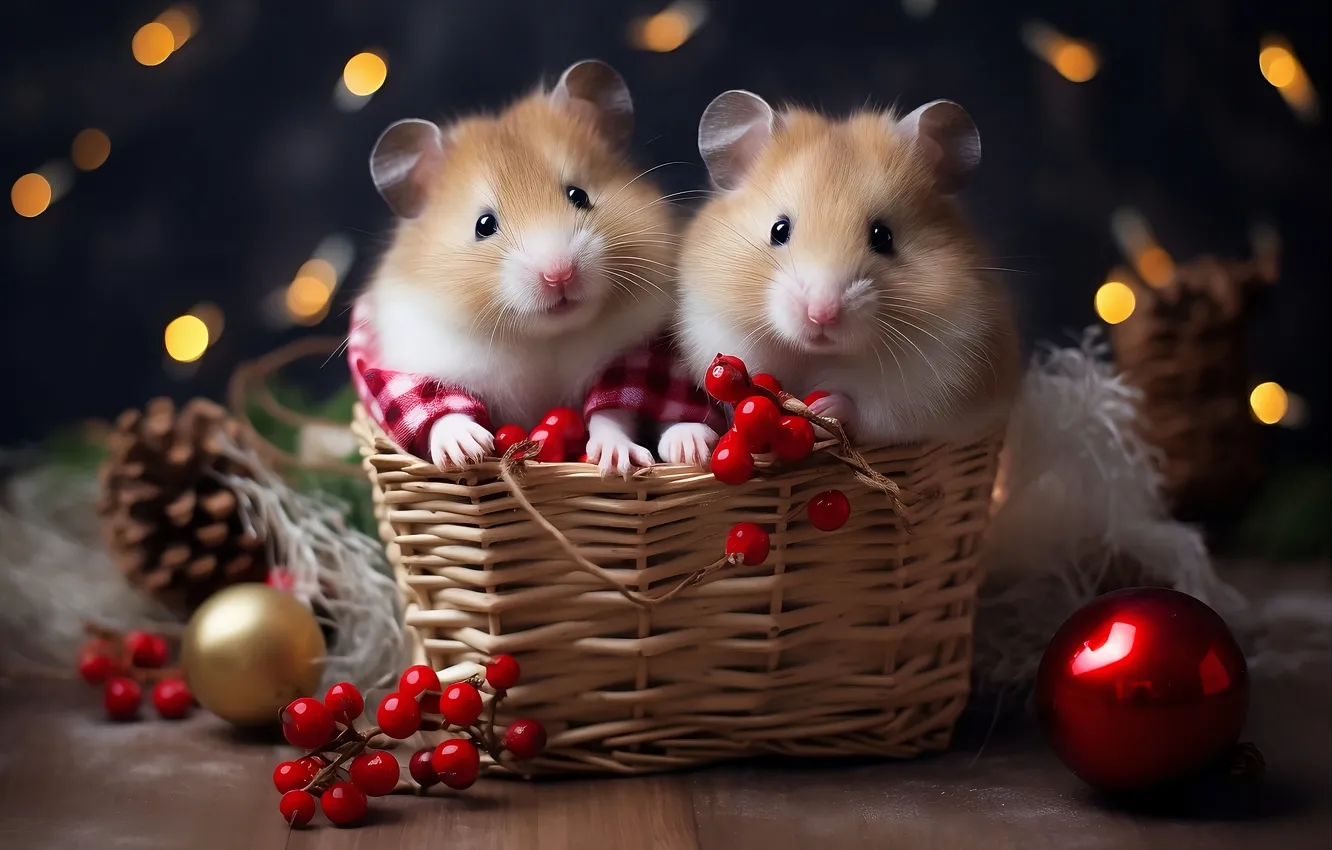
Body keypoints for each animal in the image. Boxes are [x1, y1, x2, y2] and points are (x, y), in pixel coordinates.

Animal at [360, 60, 680, 476]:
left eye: (579, 195)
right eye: (484, 225)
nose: (559, 274)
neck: (541, 337)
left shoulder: (624, 362)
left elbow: (611, 411)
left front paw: (618, 463)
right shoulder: (422, 367)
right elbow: (439, 410)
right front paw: (466, 451)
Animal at [675, 91, 1020, 444]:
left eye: (883, 236)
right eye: (779, 230)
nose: (822, 314)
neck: (815, 354)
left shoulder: (937, 381)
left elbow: (871, 410)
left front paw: (823, 406)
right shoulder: (713, 329)